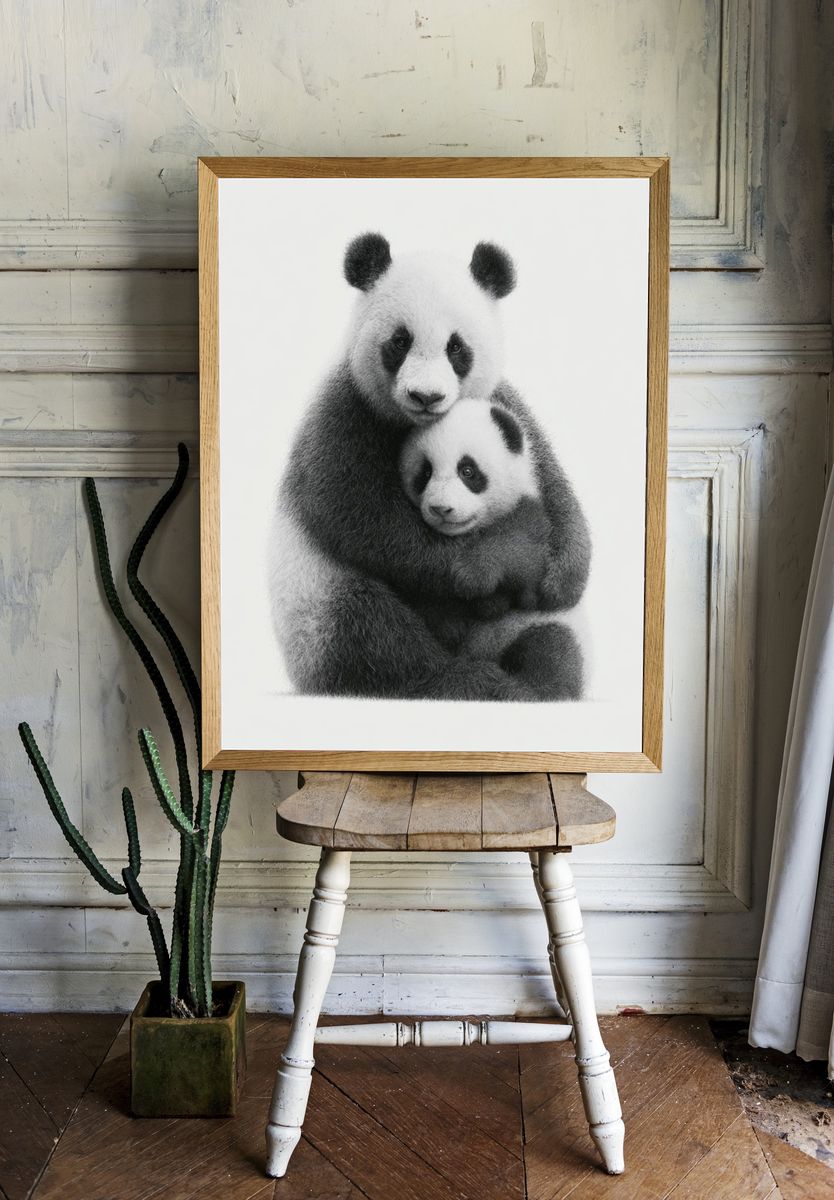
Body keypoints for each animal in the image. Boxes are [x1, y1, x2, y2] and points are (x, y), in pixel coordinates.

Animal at [269, 232, 590, 701]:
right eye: (399, 342)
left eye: (456, 347)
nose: (426, 396)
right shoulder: (346, 412)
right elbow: (361, 515)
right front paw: (498, 561)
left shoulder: (500, 401)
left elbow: (550, 479)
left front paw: (561, 578)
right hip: (315, 602)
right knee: (372, 636)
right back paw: (466, 681)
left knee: (554, 642)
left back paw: (537, 681)